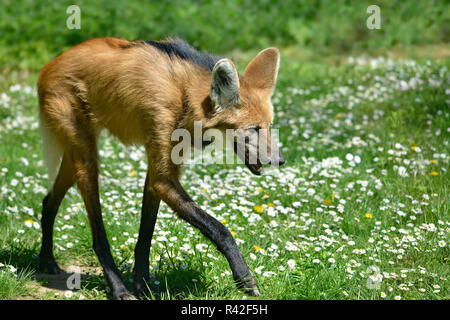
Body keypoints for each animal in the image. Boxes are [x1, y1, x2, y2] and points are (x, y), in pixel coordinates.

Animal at [37, 37, 284, 300]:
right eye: (253, 129)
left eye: (269, 126)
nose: (280, 160)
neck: (185, 97)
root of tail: (50, 65)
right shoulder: (162, 171)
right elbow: (220, 229)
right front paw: (245, 278)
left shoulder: (158, 172)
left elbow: (146, 233)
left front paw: (143, 285)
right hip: (86, 157)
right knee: (98, 234)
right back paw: (118, 288)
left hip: (76, 153)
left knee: (48, 201)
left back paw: (46, 260)